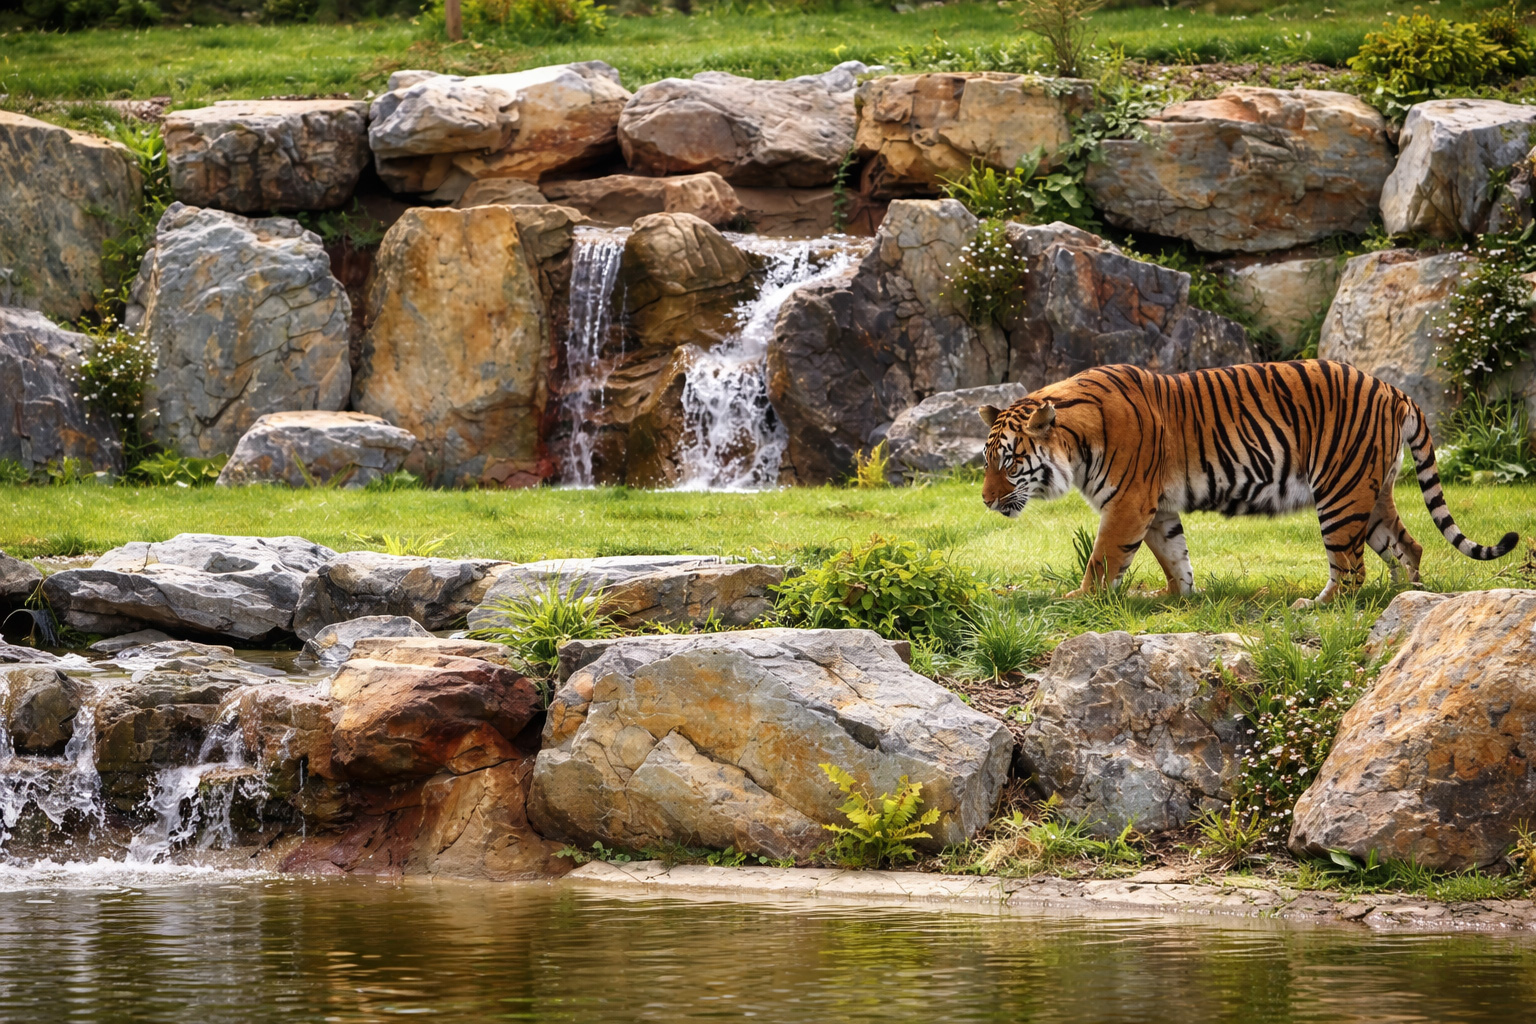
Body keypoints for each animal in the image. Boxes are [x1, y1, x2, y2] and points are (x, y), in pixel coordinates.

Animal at [978, 360, 1518, 608]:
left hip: (1340, 492)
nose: (984, 501)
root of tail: (1391, 388)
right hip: (1372, 492)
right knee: (1409, 546)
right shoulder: (1158, 508)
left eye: (1007, 461)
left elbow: (1103, 559)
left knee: (1350, 568)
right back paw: (1404, 597)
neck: (1075, 442)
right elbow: (1174, 556)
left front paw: (1079, 600)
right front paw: (1176, 598)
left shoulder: (1129, 504)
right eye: (985, 461)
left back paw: (1317, 606)